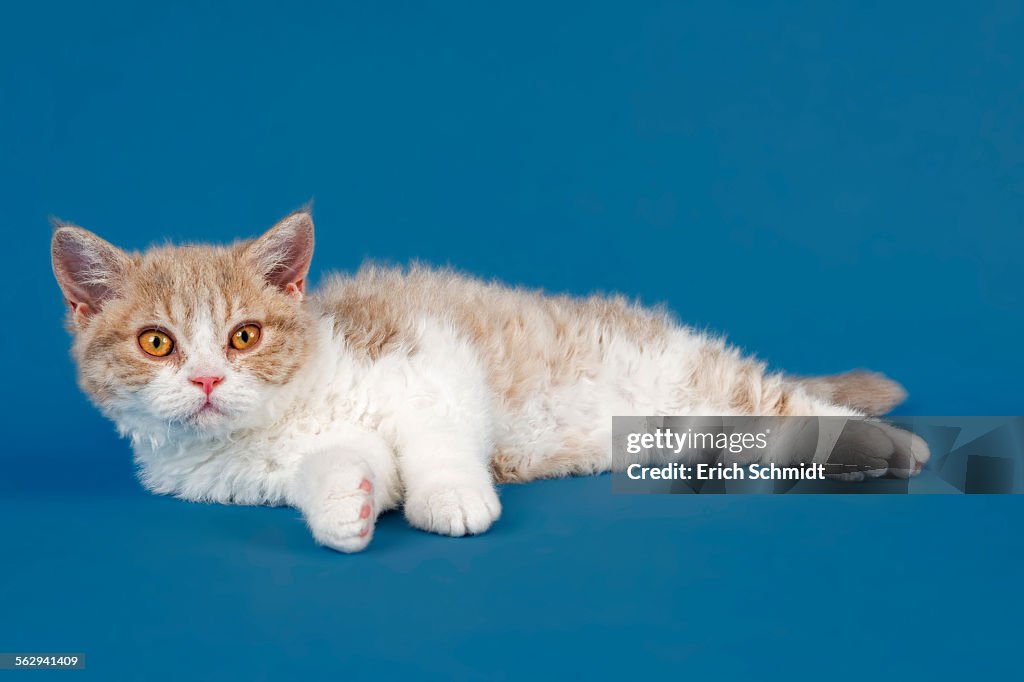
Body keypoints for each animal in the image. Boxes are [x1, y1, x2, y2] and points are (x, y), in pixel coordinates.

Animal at [48, 209, 929, 548]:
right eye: (157, 343)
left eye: (244, 335)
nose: (204, 380)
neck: (286, 413)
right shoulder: (246, 477)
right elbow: (341, 469)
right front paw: (345, 508)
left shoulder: (425, 358)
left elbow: (437, 438)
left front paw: (453, 499)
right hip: (687, 434)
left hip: (689, 366)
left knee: (788, 399)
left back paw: (889, 445)